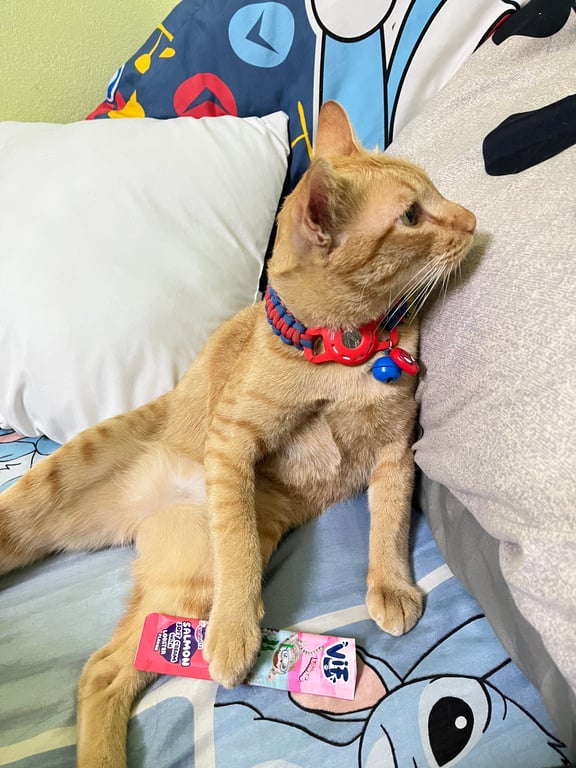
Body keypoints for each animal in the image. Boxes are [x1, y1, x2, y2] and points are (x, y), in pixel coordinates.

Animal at [0, 100, 475, 768]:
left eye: (434, 195)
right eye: (411, 215)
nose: (472, 219)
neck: (346, 351)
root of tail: (146, 510)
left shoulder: (394, 448)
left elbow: (388, 519)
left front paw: (390, 584)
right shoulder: (232, 438)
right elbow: (237, 537)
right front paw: (233, 630)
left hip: (182, 588)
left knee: (103, 673)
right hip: (67, 507)